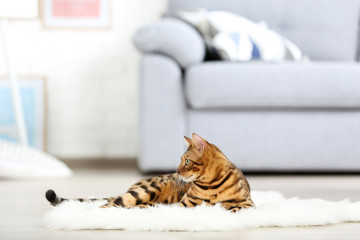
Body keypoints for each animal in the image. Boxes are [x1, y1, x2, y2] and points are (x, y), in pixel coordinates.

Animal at [46, 133, 255, 212]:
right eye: (181, 161)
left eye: (186, 161)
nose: (177, 171)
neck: (211, 185)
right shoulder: (184, 205)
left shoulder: (247, 204)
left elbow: (234, 208)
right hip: (145, 191)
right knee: (108, 205)